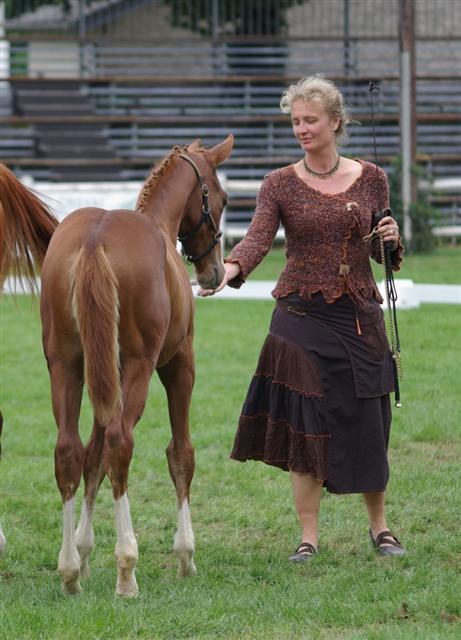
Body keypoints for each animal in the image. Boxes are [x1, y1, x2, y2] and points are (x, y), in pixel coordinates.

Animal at [39, 136, 232, 596]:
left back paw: (69, 572)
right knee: (121, 442)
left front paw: (83, 551)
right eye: (221, 199)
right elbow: (180, 453)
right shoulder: (179, 366)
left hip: (66, 367)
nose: (214, 272)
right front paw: (185, 555)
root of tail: (95, 239)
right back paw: (127, 568)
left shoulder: (100, 375)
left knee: (70, 450)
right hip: (140, 368)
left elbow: (92, 458)